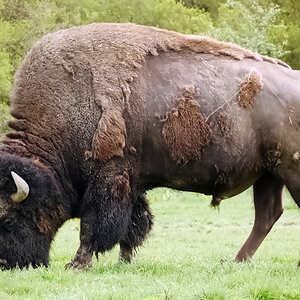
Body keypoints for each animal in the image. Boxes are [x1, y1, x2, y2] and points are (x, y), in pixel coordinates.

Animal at [0, 22, 298, 268]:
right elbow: (133, 224)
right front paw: (124, 261)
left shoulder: (108, 180)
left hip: (289, 172)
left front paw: (77, 264)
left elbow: (94, 226)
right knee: (267, 215)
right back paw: (236, 261)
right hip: (268, 175)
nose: (5, 263)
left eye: (7, 218)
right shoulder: (132, 184)